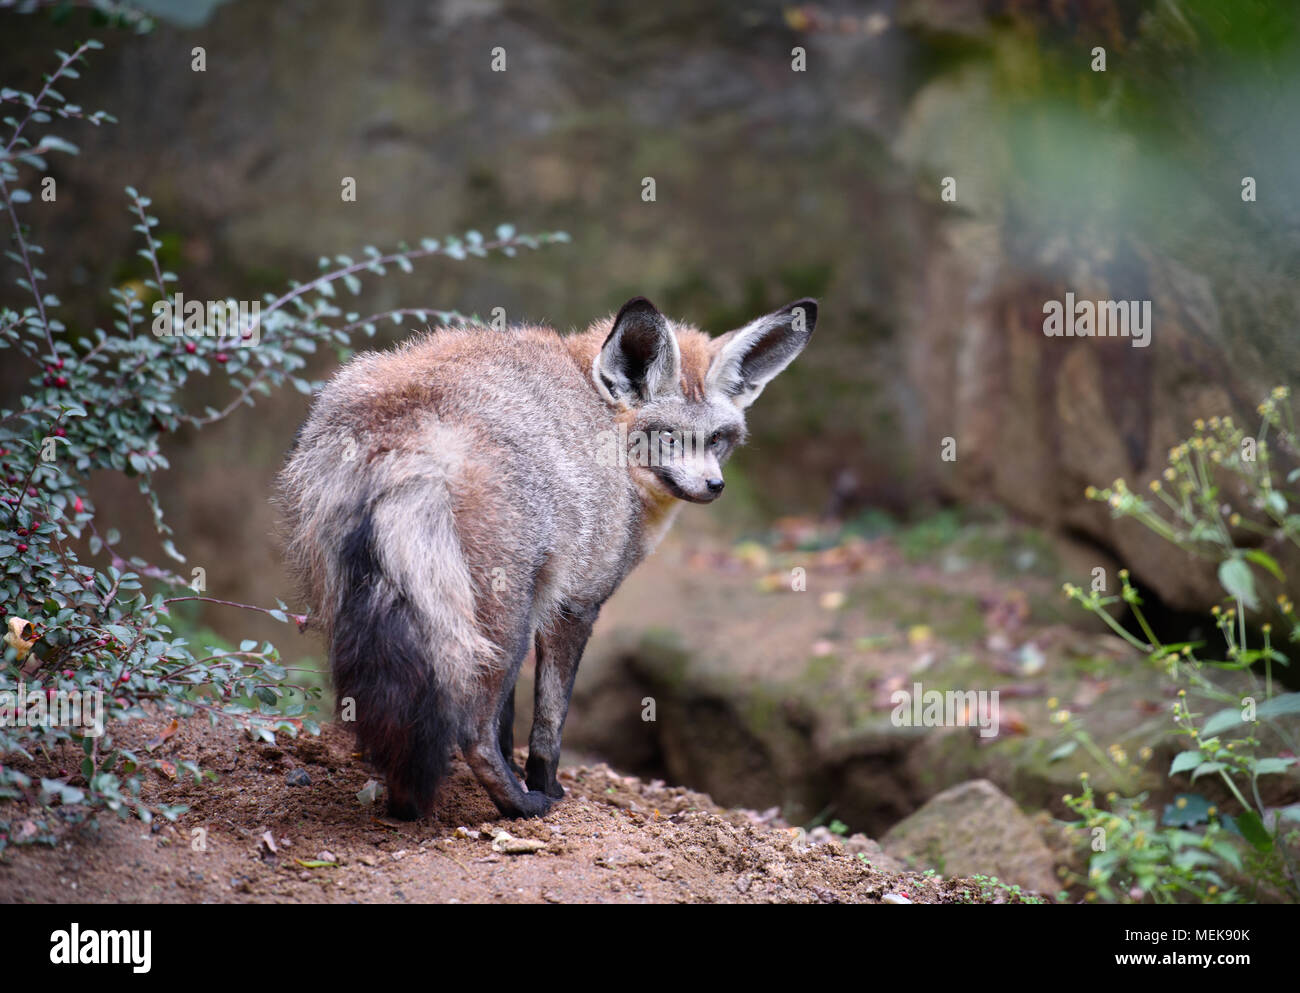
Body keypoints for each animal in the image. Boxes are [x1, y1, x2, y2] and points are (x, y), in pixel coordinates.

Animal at [276, 295, 816, 819]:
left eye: (718, 439)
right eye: (667, 437)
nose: (713, 486)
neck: (603, 420)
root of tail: (403, 422)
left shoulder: (540, 598)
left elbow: (509, 719)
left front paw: (519, 771)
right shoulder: (576, 604)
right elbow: (548, 722)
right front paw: (544, 784)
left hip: (365, 603)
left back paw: (404, 803)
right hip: (501, 622)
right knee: (470, 730)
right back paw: (519, 807)